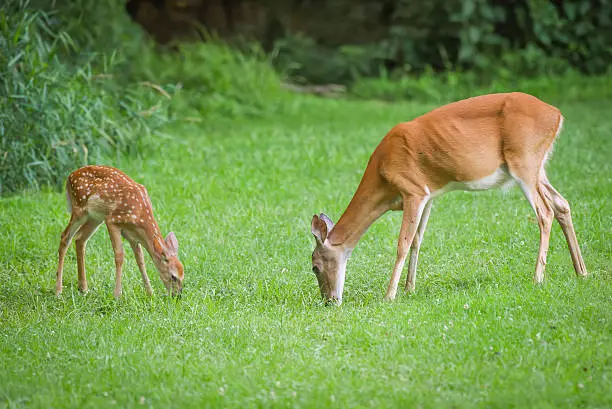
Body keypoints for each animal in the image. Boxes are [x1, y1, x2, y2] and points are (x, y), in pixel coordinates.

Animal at [56, 165, 183, 296]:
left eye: (182, 275)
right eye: (173, 276)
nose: (178, 295)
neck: (140, 215)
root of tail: (69, 176)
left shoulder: (132, 235)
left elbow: (140, 260)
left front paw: (150, 293)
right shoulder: (112, 220)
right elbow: (119, 256)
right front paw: (117, 294)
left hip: (95, 218)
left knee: (80, 239)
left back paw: (83, 288)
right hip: (79, 208)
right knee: (65, 236)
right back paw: (58, 291)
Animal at [310, 91, 588, 302]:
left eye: (314, 267)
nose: (329, 301)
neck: (383, 179)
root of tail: (556, 114)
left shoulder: (412, 189)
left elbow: (402, 243)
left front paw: (389, 295)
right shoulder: (429, 195)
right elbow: (417, 240)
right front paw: (409, 289)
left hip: (524, 161)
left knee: (545, 212)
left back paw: (538, 278)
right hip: (538, 167)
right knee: (562, 204)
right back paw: (581, 272)